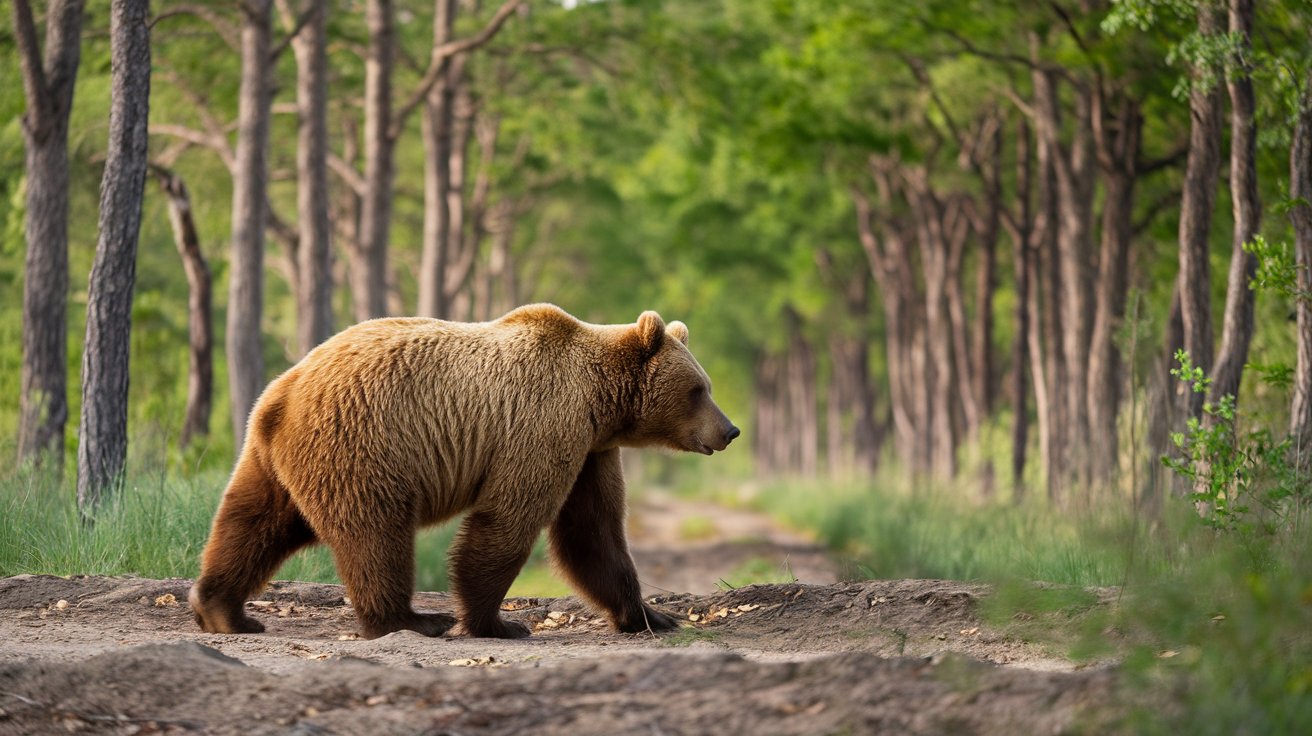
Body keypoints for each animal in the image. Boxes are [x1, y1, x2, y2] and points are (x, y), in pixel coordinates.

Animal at [190, 304, 739, 637]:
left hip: (276, 462)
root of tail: (280, 394)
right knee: (376, 537)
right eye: (699, 389)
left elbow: (594, 533)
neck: (599, 401)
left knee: (251, 524)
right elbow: (509, 520)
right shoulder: (544, 424)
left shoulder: (591, 451)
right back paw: (411, 619)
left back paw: (223, 610)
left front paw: (653, 614)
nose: (730, 430)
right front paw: (495, 622)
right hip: (360, 443)